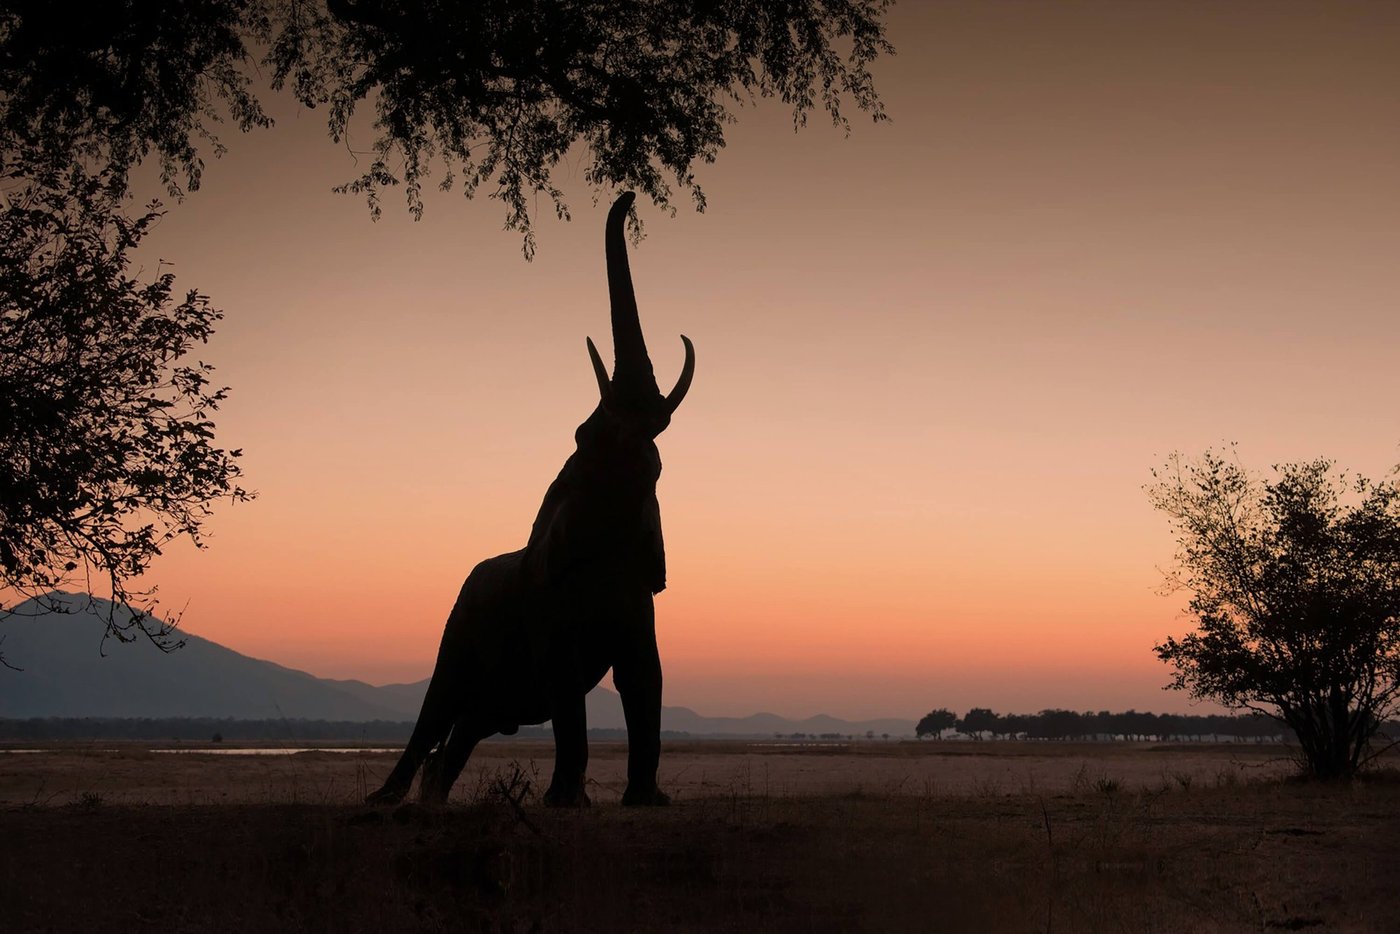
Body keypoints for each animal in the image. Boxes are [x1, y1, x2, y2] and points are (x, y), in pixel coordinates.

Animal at [367, 191, 694, 808]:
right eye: (585, 437)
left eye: (655, 465)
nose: (629, 197)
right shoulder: (546, 600)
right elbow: (567, 681)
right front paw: (567, 804)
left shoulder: (640, 595)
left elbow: (645, 675)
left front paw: (647, 802)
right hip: (458, 621)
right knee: (439, 705)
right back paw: (386, 802)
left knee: (468, 723)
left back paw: (431, 802)